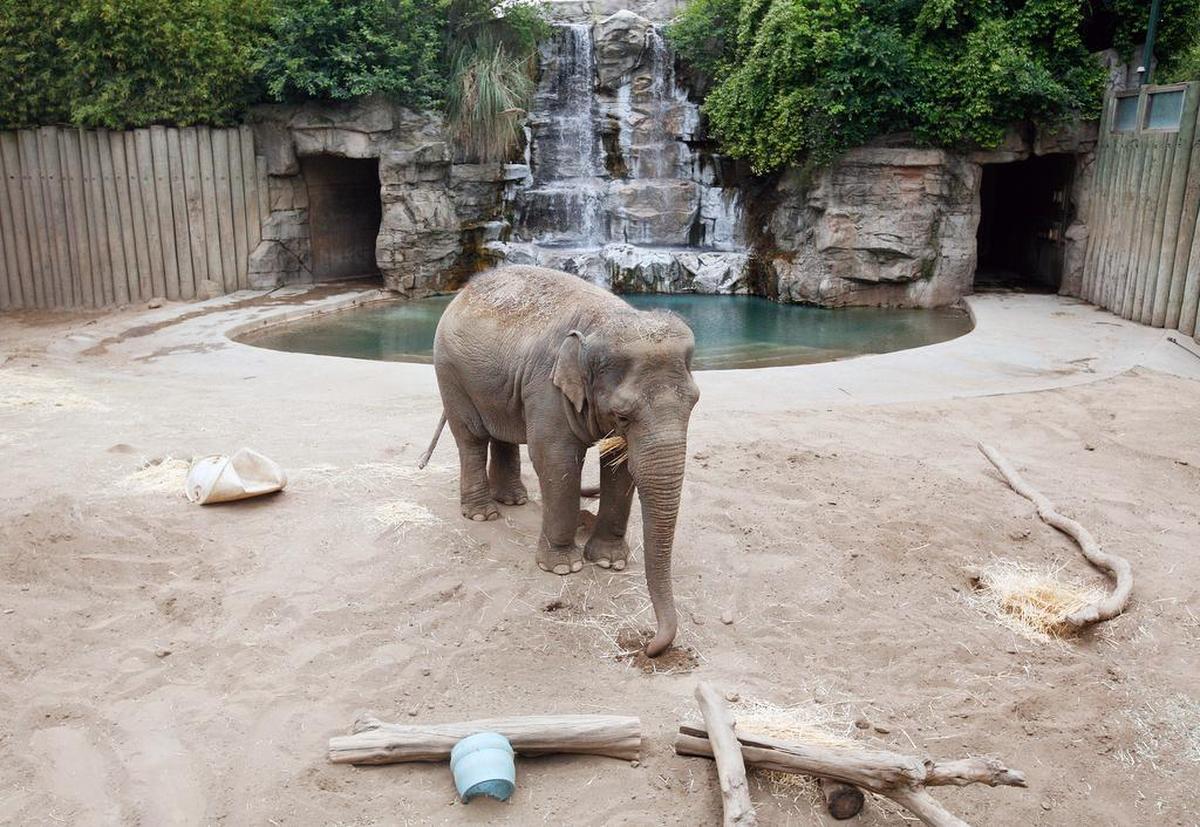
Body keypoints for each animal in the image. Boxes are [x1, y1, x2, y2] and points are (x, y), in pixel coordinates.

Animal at [420, 265, 699, 657]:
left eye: (695, 402)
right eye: (623, 415)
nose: (648, 647)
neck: (607, 320)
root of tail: (465, 290)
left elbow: (619, 466)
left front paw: (610, 561)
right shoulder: (547, 387)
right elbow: (555, 459)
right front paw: (564, 569)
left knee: (503, 434)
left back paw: (514, 500)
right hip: (449, 371)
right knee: (472, 437)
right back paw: (482, 514)